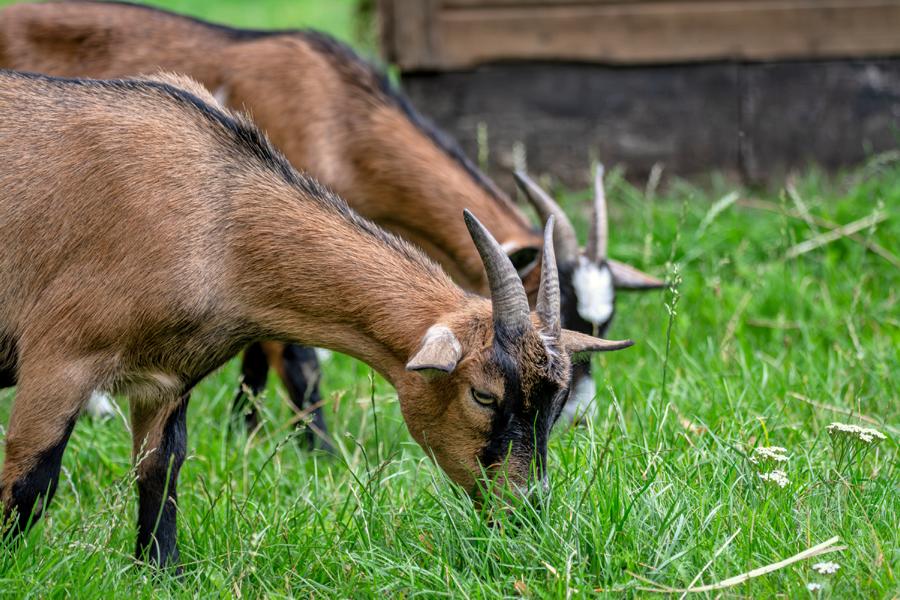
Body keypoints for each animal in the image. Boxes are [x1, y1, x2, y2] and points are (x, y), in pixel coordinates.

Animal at [0, 1, 663, 434]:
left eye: (601, 322)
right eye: (567, 314)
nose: (577, 416)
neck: (340, 115)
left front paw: (246, 429)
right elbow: (296, 355)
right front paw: (313, 449)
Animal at [0, 70, 632, 568]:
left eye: (555, 400)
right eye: (482, 395)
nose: (525, 511)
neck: (219, 215)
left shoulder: (167, 380)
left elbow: (160, 477)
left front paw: (163, 575)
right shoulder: (60, 360)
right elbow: (32, 480)